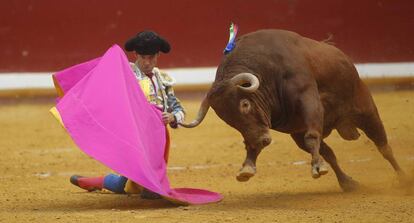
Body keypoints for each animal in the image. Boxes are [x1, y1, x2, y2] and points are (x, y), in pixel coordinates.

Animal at [179, 28, 404, 191]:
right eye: (227, 119)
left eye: (245, 104)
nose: (261, 140)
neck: (267, 70)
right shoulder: (289, 128)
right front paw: (247, 167)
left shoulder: (309, 98)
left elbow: (312, 135)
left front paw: (317, 166)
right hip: (298, 134)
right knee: (330, 153)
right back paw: (347, 182)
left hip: (366, 110)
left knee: (383, 146)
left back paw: (403, 178)